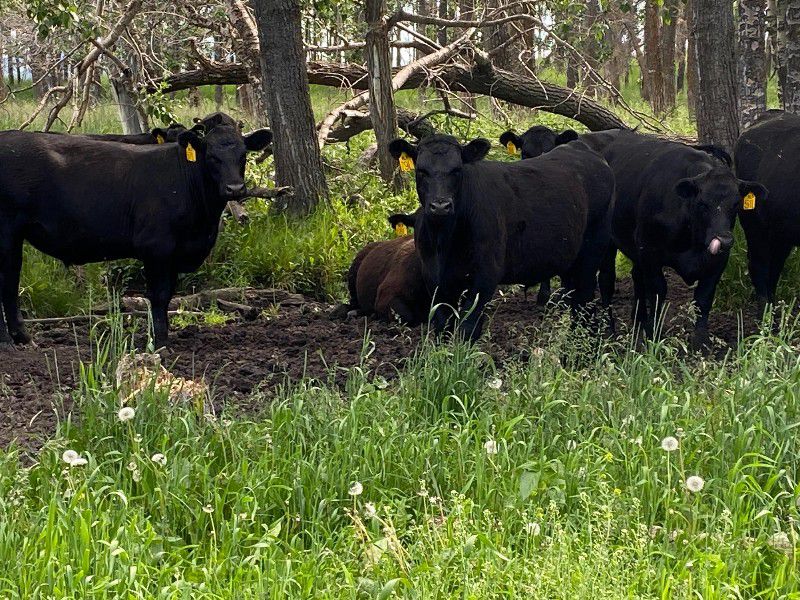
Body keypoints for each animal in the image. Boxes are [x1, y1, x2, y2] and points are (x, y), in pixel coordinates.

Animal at [0, 114, 272, 349]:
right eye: (212, 156)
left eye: (243, 155)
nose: (235, 188)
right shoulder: (156, 247)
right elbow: (159, 295)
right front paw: (160, 341)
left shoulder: (174, 253)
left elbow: (168, 295)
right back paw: (8, 341)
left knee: (10, 281)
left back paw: (23, 337)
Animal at [388, 134, 615, 342]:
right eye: (421, 171)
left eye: (457, 170)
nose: (441, 206)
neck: (444, 240)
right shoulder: (436, 281)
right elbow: (443, 329)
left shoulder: (485, 276)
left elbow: (467, 329)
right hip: (569, 260)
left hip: (591, 254)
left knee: (584, 304)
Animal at [554, 129, 767, 348]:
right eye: (702, 204)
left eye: (736, 204)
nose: (724, 240)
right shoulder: (650, 252)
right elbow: (658, 291)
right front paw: (654, 334)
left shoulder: (717, 261)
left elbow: (703, 297)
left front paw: (700, 342)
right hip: (608, 244)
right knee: (607, 281)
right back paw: (610, 329)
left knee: (636, 277)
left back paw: (638, 320)